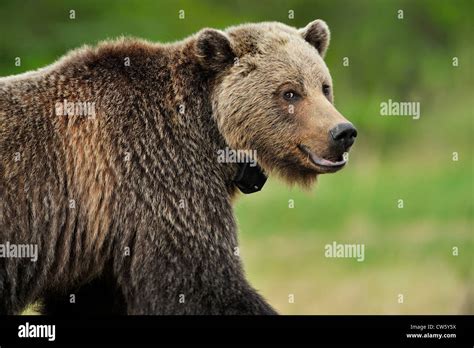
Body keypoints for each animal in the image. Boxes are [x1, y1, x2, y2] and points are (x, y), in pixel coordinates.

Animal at [0, 19, 356, 316]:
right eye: (290, 93)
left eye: (324, 87)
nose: (342, 132)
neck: (213, 138)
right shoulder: (155, 173)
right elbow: (200, 282)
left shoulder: (99, 245)